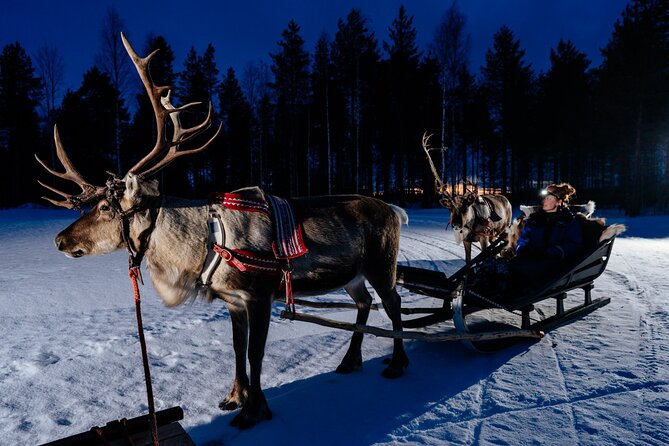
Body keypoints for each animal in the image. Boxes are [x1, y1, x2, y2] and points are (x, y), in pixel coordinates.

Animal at [36, 33, 409, 429]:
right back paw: (350, 361)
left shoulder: (260, 295)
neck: (203, 246)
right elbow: (237, 348)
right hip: (353, 275)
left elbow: (255, 354)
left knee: (392, 303)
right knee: (365, 302)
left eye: (106, 208)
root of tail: (394, 210)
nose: (59, 239)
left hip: (382, 265)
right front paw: (234, 397)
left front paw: (254, 410)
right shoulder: (233, 301)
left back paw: (398, 363)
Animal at [421, 132, 512, 262]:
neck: (471, 225)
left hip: (504, 228)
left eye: (466, 207)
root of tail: (507, 200)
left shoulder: (483, 237)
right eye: (450, 209)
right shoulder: (466, 240)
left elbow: (483, 257)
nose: (456, 224)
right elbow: (468, 260)